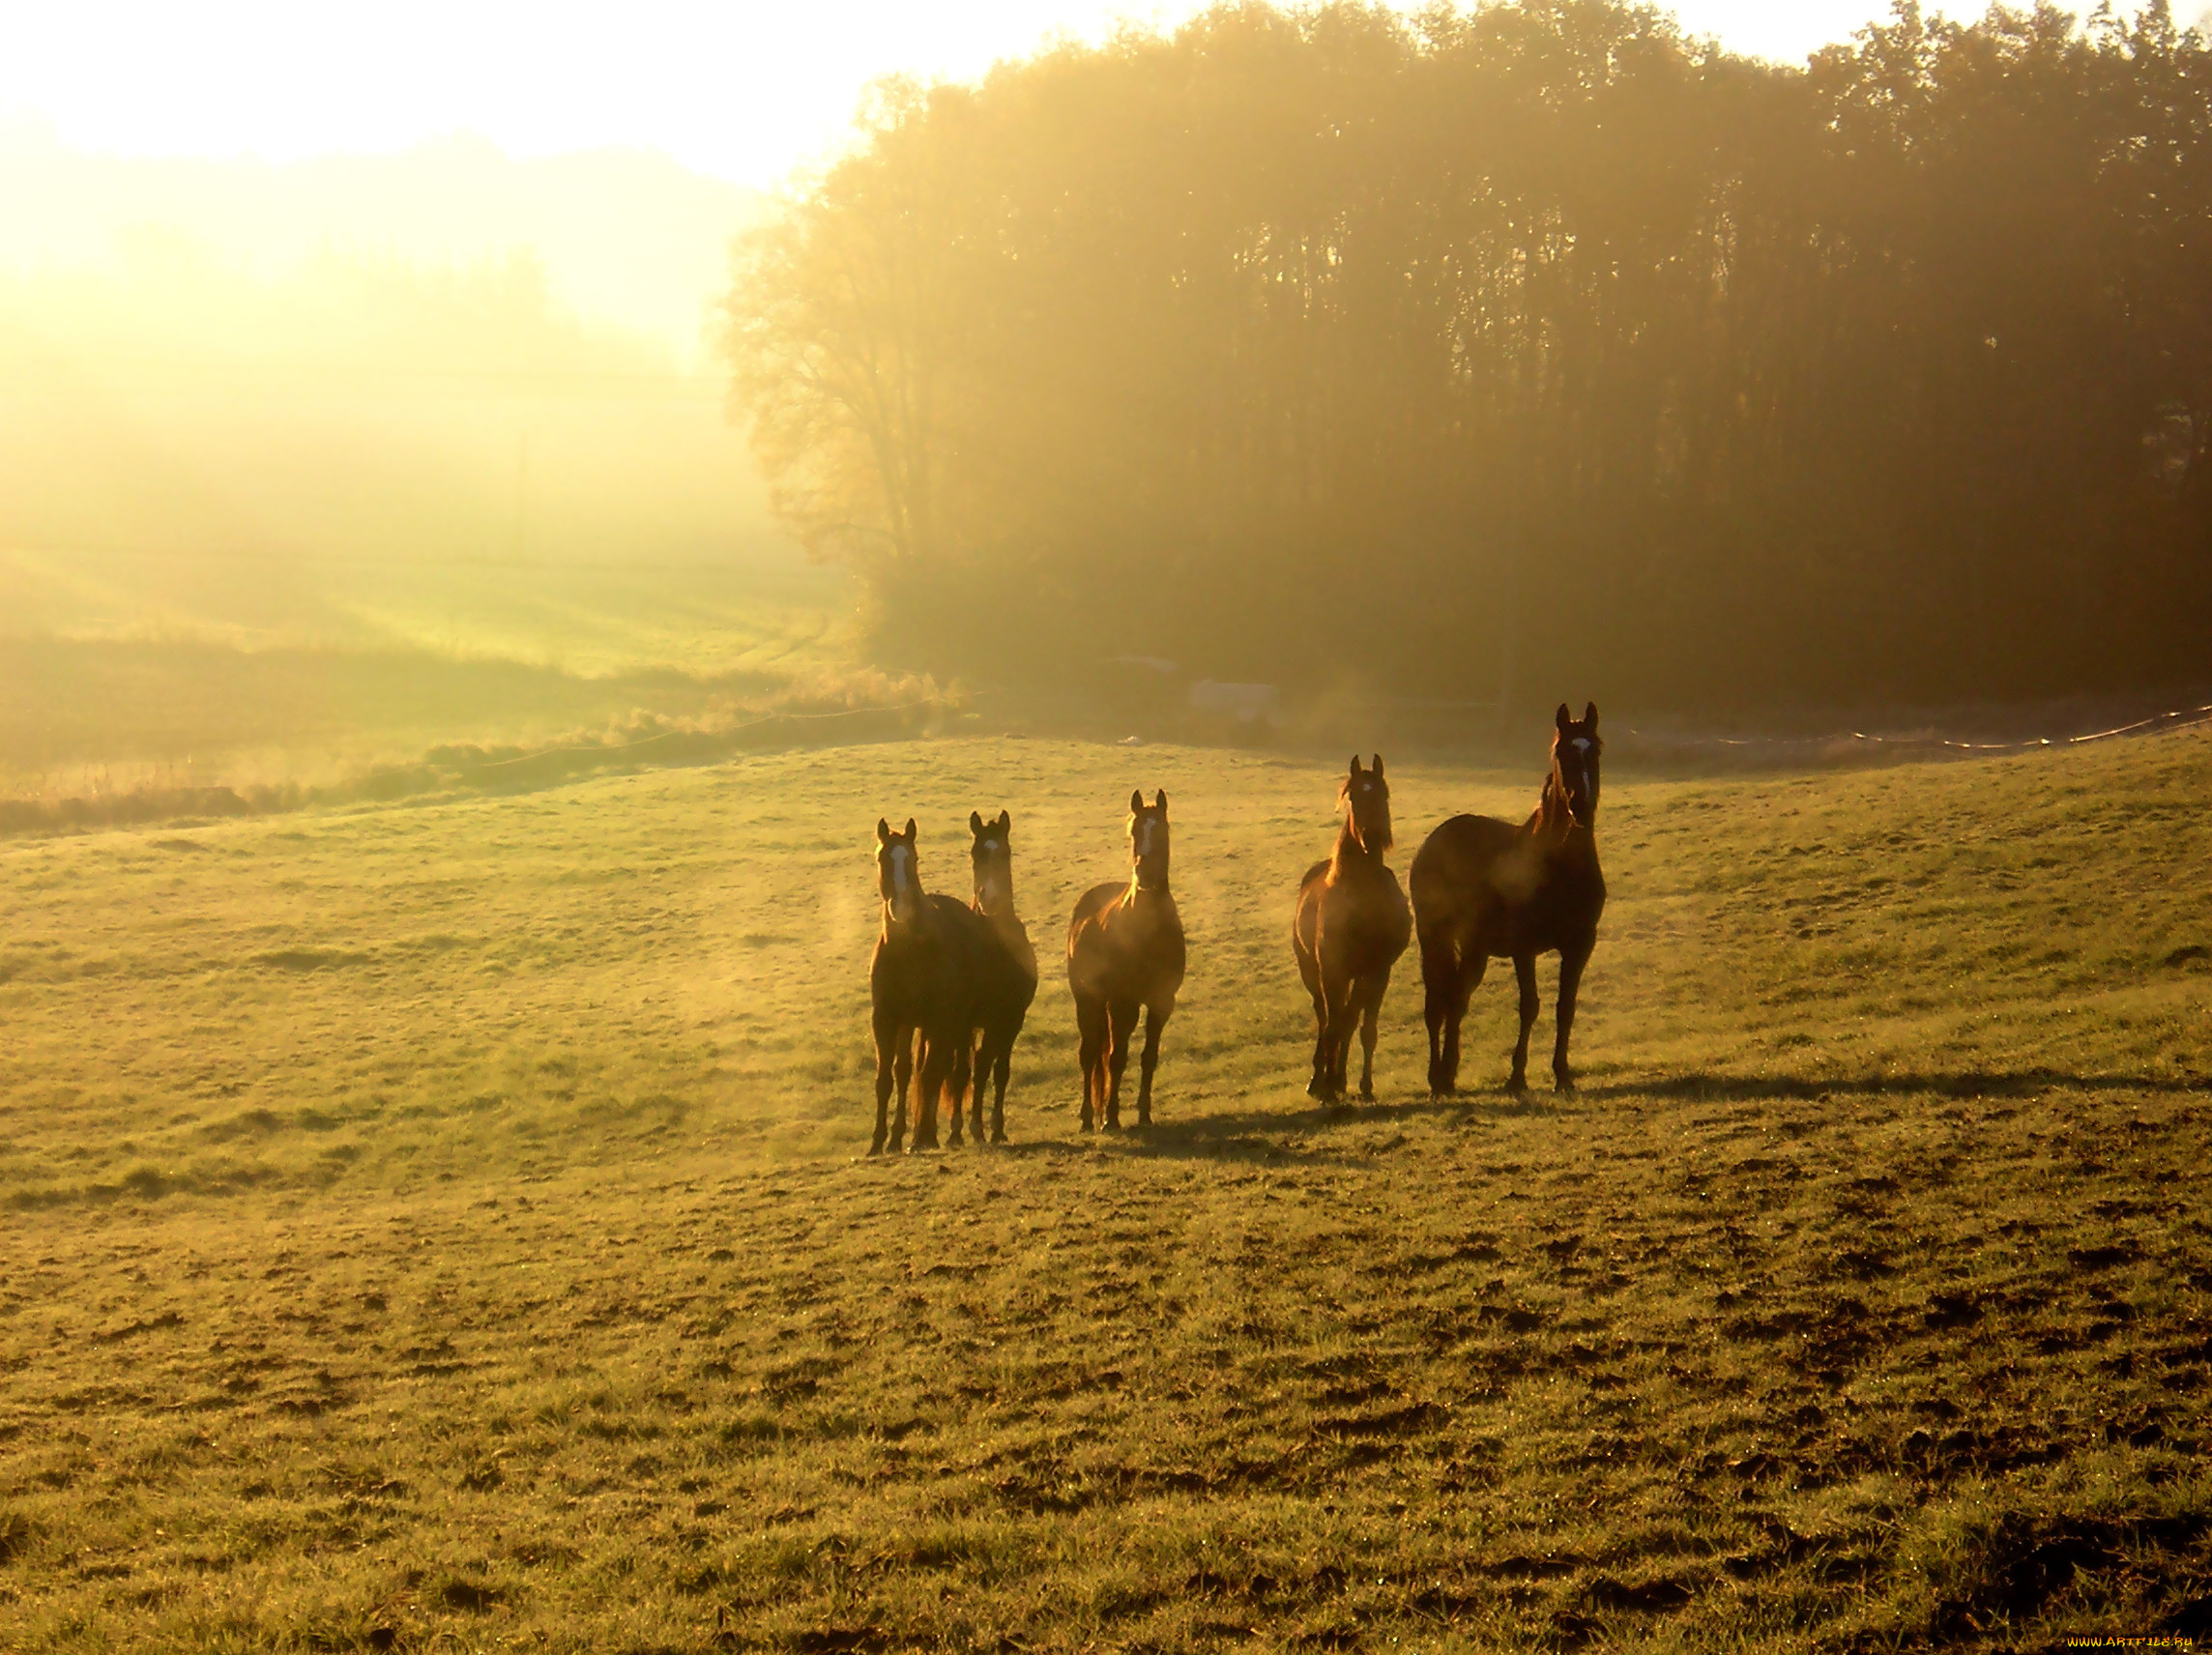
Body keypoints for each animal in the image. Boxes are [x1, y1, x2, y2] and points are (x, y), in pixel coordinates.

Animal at [866, 823, 991, 1159]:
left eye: (914, 859)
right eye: (882, 858)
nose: (901, 909)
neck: (910, 951)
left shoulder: (940, 1019)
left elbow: (932, 1073)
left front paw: (923, 1137)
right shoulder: (886, 1019)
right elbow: (886, 1079)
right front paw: (878, 1142)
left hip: (956, 1025)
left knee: (950, 1069)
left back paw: (940, 1134)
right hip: (912, 1024)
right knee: (907, 1072)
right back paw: (900, 1137)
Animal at [1062, 792, 1185, 1132]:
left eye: (1163, 830)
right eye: (1134, 832)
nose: (1144, 875)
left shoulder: (1161, 1002)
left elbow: (1148, 1057)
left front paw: (1144, 1114)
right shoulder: (1122, 1003)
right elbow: (1116, 1058)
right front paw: (1111, 1119)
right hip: (1088, 1000)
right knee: (1090, 1054)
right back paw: (1088, 1117)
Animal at [1292, 756, 1407, 1106]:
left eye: (1385, 794)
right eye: (1353, 796)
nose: (1374, 836)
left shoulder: (1379, 970)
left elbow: (1365, 1028)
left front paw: (1364, 1085)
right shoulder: (1333, 971)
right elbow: (1333, 1025)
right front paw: (1327, 1086)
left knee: (1348, 1017)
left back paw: (1339, 1077)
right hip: (1313, 972)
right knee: (1326, 1017)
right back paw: (1320, 1079)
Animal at [1415, 703, 1610, 1092]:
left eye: (1595, 749)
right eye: (1561, 752)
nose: (1580, 807)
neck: (1559, 867)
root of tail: (1434, 840)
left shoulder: (1580, 944)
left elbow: (1566, 1007)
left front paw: (1562, 1075)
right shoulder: (1524, 948)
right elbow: (1530, 1005)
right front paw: (1517, 1076)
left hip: (1474, 949)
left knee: (1456, 999)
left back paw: (1448, 1073)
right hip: (1434, 939)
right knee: (1437, 1003)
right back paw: (1436, 1077)